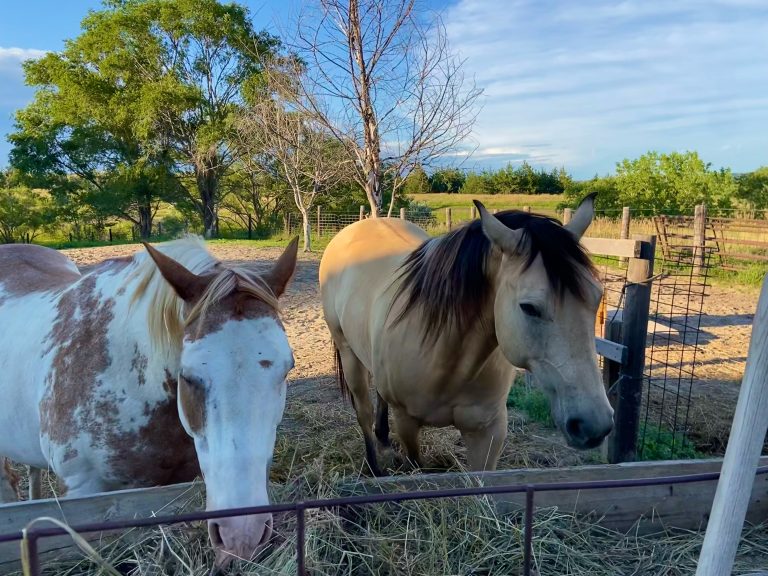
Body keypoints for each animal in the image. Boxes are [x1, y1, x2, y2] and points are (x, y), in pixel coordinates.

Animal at [320, 196, 616, 474]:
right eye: (529, 307)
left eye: (597, 297)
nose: (595, 425)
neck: (446, 356)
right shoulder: (407, 422)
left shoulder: (488, 432)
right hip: (348, 353)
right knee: (364, 412)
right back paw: (374, 467)